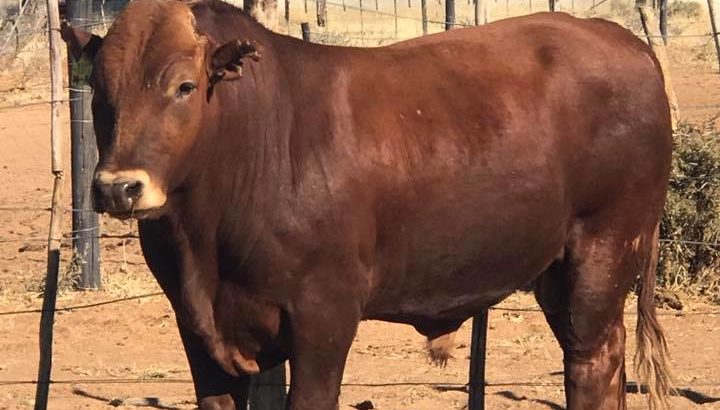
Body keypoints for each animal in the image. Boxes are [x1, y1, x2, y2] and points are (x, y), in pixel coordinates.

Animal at [61, 0, 674, 408]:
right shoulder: (198, 329)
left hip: (603, 251)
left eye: (184, 86)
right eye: (98, 89)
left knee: (593, 360)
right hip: (555, 270)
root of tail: (626, 43)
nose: (118, 187)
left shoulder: (324, 316)